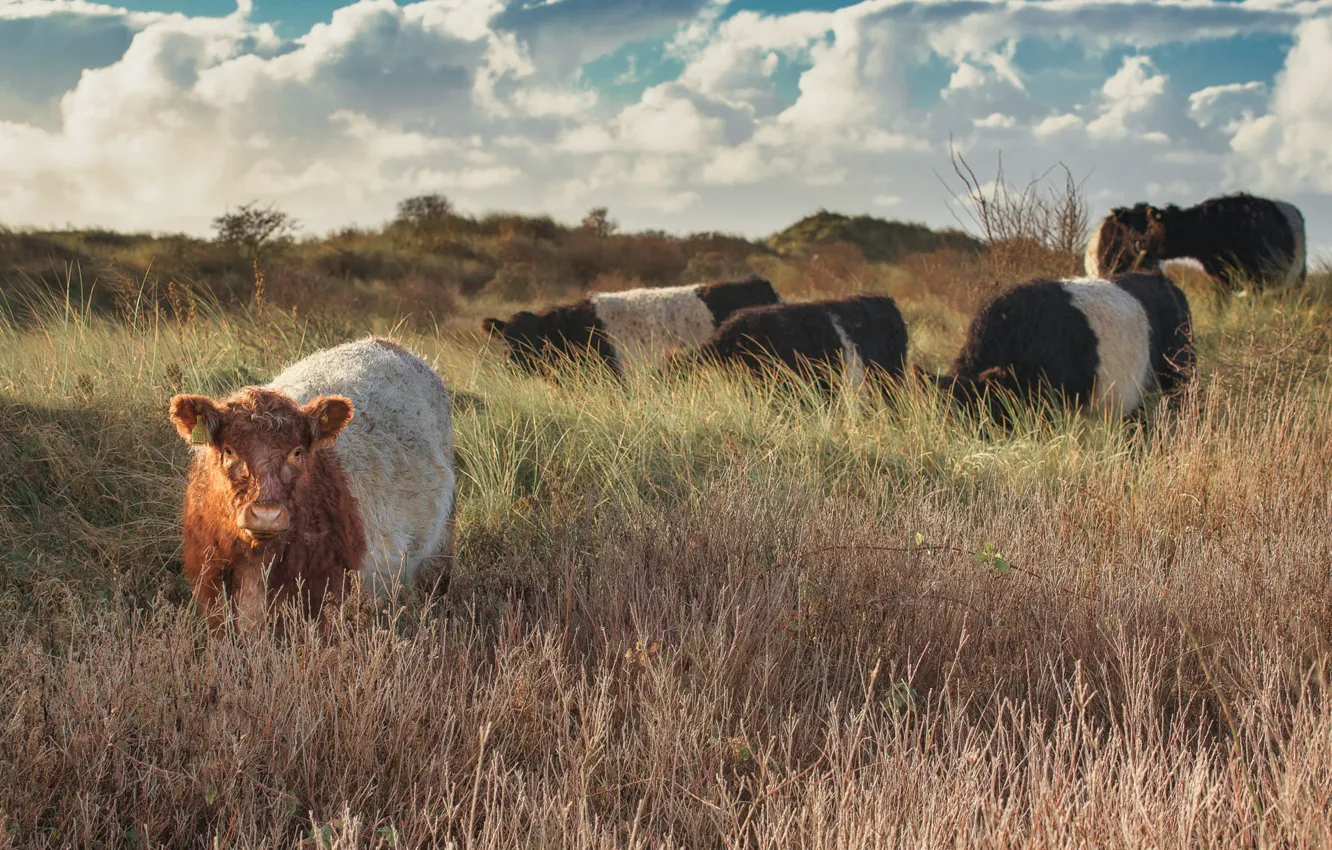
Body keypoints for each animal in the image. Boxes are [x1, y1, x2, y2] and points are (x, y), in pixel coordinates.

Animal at [1086, 193, 1306, 291]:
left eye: (1150, 226)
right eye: (1128, 226)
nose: (1141, 246)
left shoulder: (1255, 277)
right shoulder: (1221, 278)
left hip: (1293, 278)